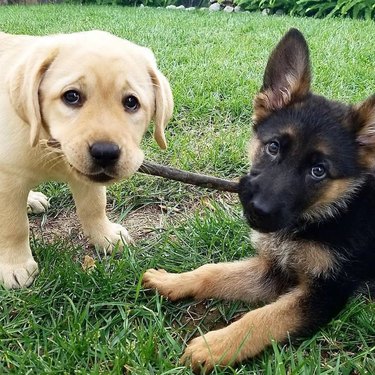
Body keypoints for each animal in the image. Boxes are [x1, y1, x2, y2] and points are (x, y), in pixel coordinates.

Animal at [0, 30, 173, 290]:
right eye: (71, 96)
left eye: (131, 102)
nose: (105, 152)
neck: (51, 144)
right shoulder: (7, 179)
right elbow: (14, 226)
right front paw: (15, 265)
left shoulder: (87, 179)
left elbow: (94, 206)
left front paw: (105, 235)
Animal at [142, 29, 374, 374]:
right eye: (273, 147)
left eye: (318, 171)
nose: (258, 210)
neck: (327, 213)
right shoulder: (273, 269)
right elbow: (214, 272)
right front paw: (173, 281)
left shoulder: (326, 292)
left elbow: (264, 317)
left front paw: (215, 345)